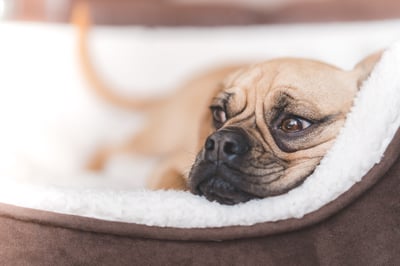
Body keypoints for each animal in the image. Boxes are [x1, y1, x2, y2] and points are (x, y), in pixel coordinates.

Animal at [73, 3, 382, 205]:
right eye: (219, 114)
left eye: (293, 124)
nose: (220, 143)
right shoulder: (168, 167)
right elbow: (174, 188)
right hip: (155, 140)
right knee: (110, 148)